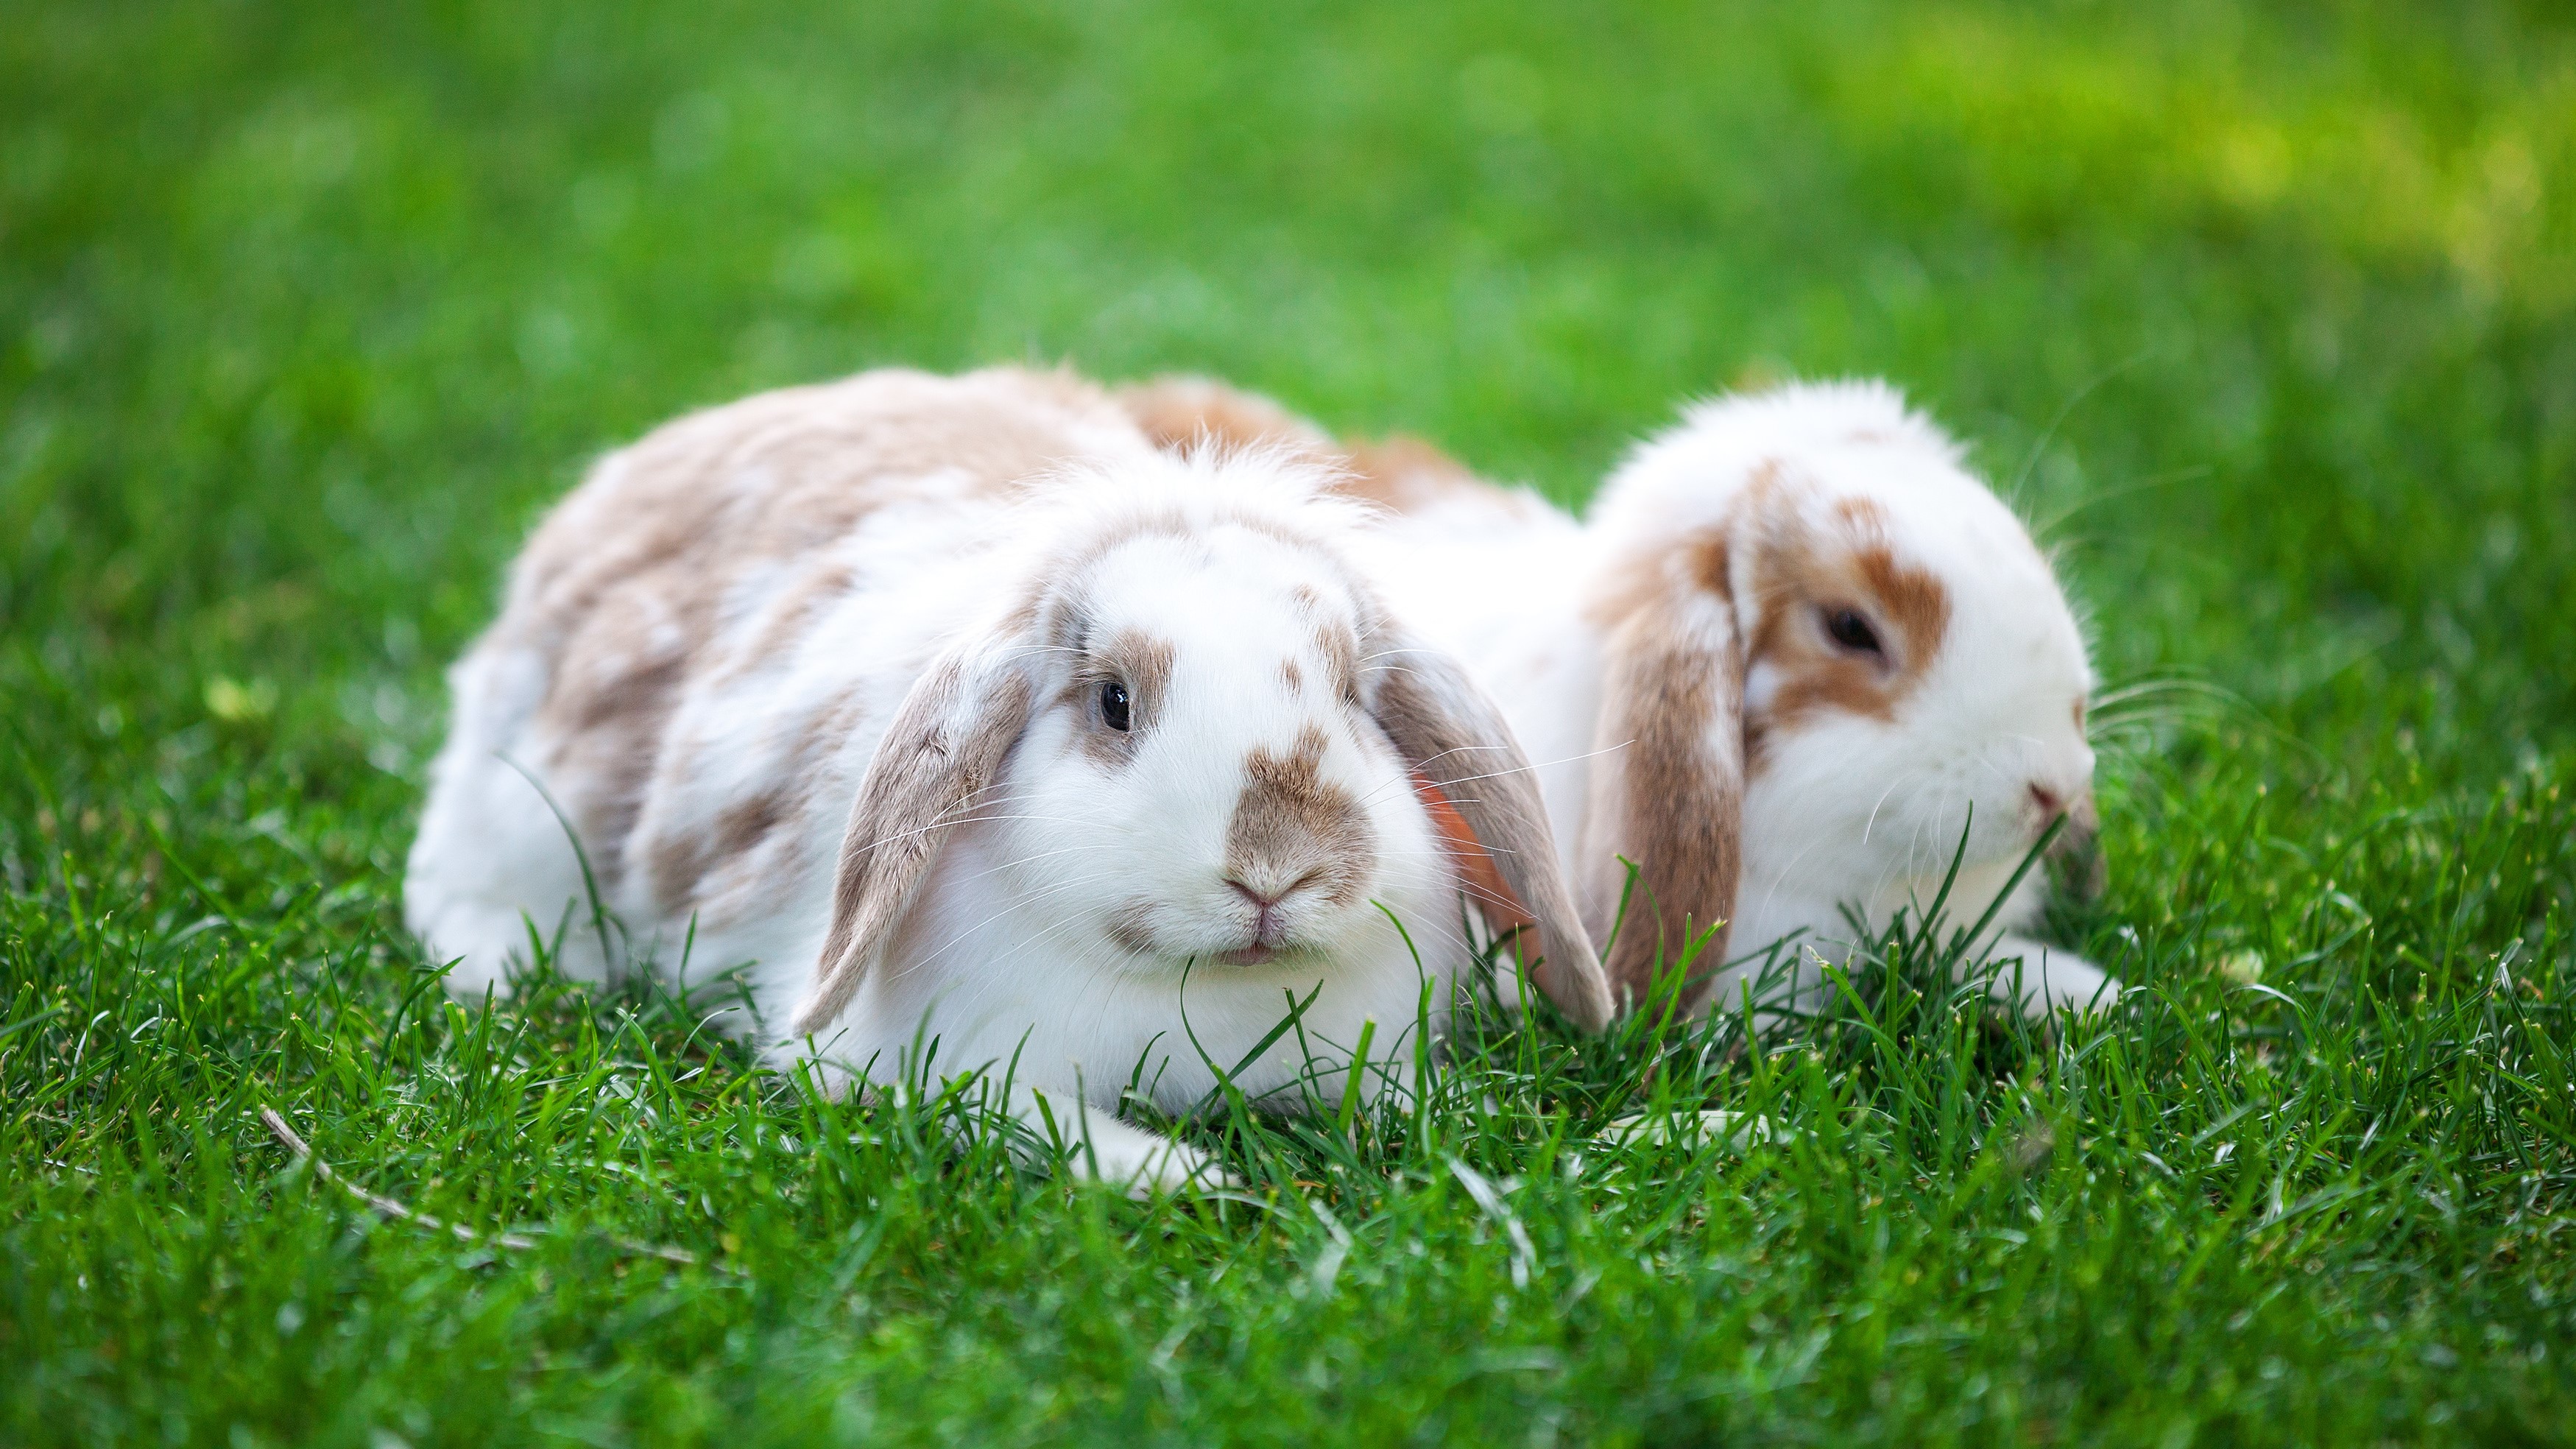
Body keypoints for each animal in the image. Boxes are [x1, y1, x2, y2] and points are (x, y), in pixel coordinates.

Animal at [401, 361, 1607, 1185]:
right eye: (1113, 702)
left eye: (1355, 695)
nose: (1273, 869)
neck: (1202, 993)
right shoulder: (956, 1072)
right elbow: (1059, 1131)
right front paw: (1190, 1178)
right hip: (512, 824)